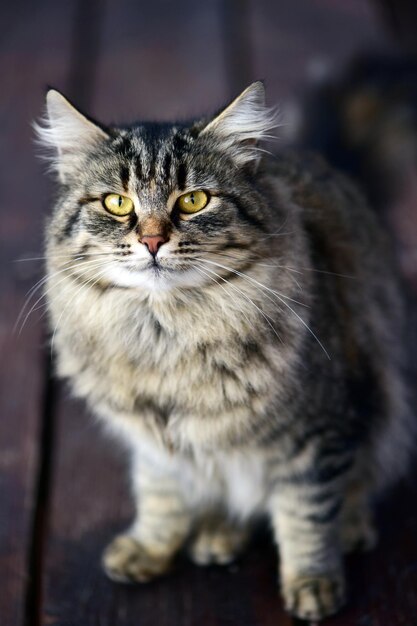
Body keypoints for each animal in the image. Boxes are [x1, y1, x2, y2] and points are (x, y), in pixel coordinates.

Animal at [36, 83, 412, 620]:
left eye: (193, 201)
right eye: (117, 203)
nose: (152, 240)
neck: (164, 334)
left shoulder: (317, 436)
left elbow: (306, 517)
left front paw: (313, 583)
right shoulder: (154, 442)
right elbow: (159, 497)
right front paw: (149, 547)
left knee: (356, 487)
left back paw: (349, 529)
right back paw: (218, 536)